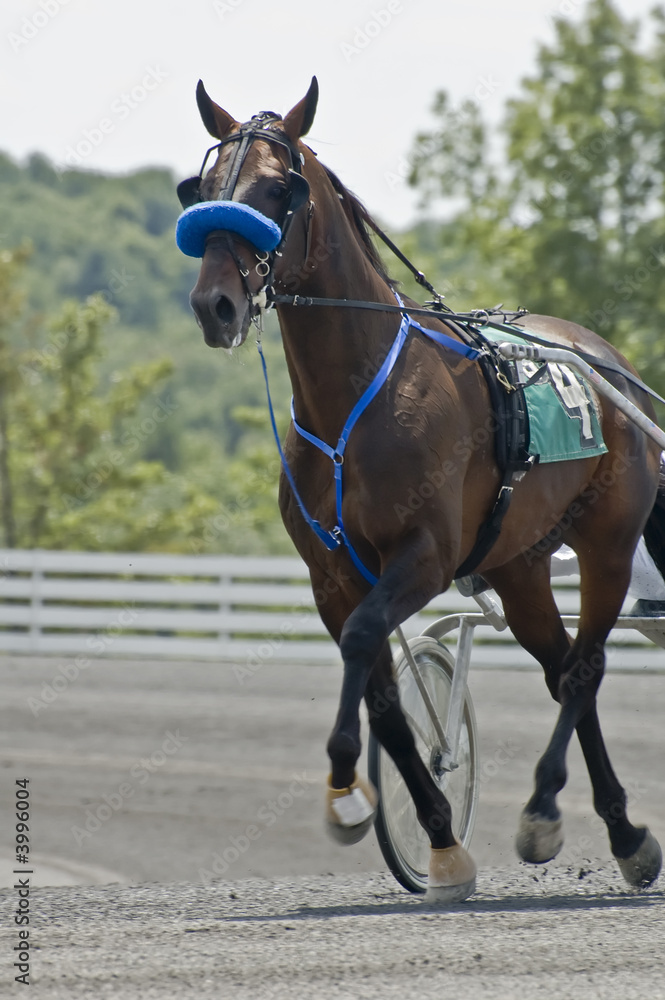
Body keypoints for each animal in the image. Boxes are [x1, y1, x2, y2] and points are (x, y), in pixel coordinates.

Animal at [176, 77, 664, 902]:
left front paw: (345, 789)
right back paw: (622, 831)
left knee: (584, 668)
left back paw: (549, 812)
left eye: (276, 189)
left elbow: (365, 642)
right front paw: (438, 841)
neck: (355, 402)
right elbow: (382, 695)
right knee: (561, 666)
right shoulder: (334, 575)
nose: (216, 305)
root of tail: (609, 363)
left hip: (605, 540)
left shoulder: (423, 556)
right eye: (202, 188)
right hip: (519, 564)